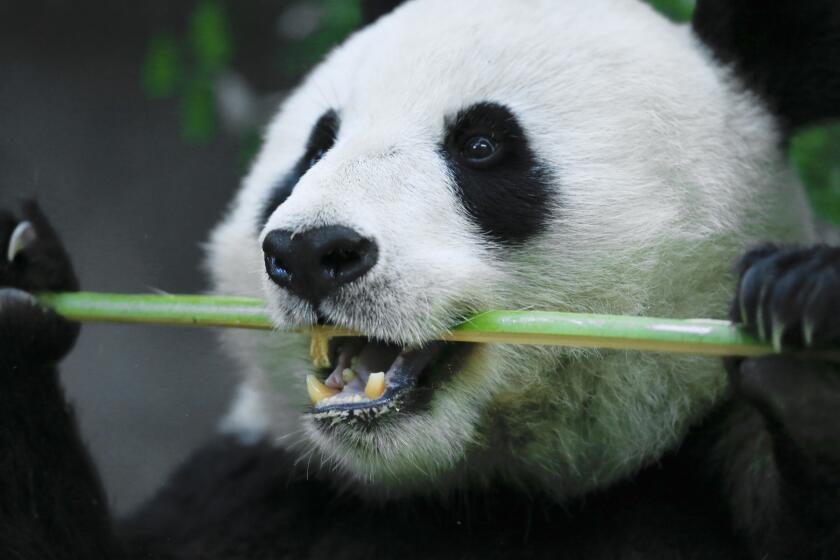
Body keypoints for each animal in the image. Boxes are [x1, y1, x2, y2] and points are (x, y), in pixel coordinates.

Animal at [1, 0, 840, 556]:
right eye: (316, 145)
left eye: (481, 145)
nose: (311, 251)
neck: (482, 490)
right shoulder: (262, 492)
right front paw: (16, 278)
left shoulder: (695, 476)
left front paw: (805, 330)